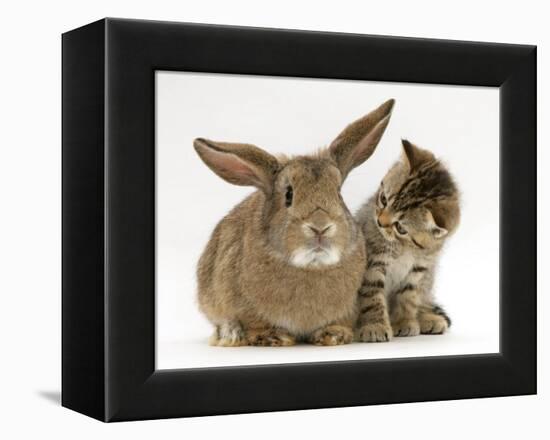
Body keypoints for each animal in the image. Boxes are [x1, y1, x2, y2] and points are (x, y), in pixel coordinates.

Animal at [194, 99, 396, 348]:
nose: (320, 227)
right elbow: (254, 324)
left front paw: (334, 335)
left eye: (338, 193)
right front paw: (273, 337)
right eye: (288, 195)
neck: (311, 266)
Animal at [356, 139, 460, 342]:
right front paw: (375, 326)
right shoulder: (373, 262)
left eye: (400, 228)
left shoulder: (420, 269)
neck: (406, 248)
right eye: (383, 199)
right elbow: (372, 295)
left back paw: (429, 318)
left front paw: (404, 322)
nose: (380, 222)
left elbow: (408, 298)